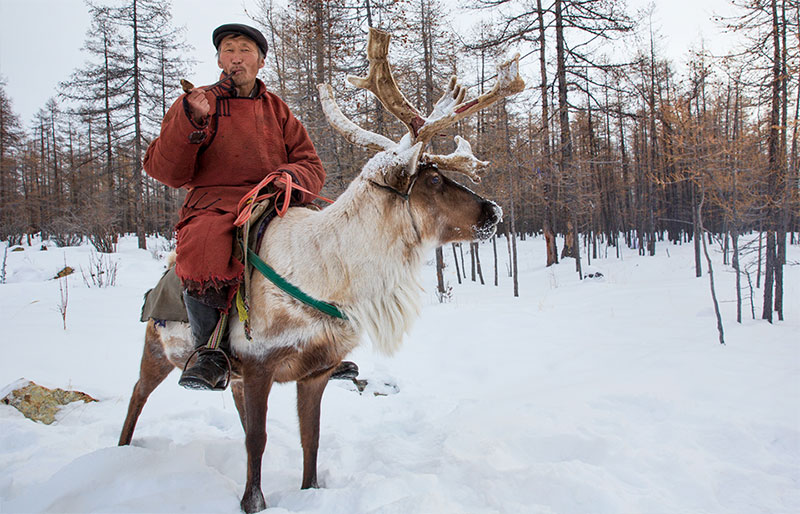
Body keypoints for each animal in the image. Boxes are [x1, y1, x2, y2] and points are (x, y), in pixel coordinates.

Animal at [118, 28, 524, 513]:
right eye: (432, 180)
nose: (493, 211)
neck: (331, 278)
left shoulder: (315, 371)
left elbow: (309, 438)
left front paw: (309, 491)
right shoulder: (258, 364)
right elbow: (258, 440)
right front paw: (252, 502)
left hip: (229, 376)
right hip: (158, 349)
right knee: (137, 395)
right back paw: (122, 451)